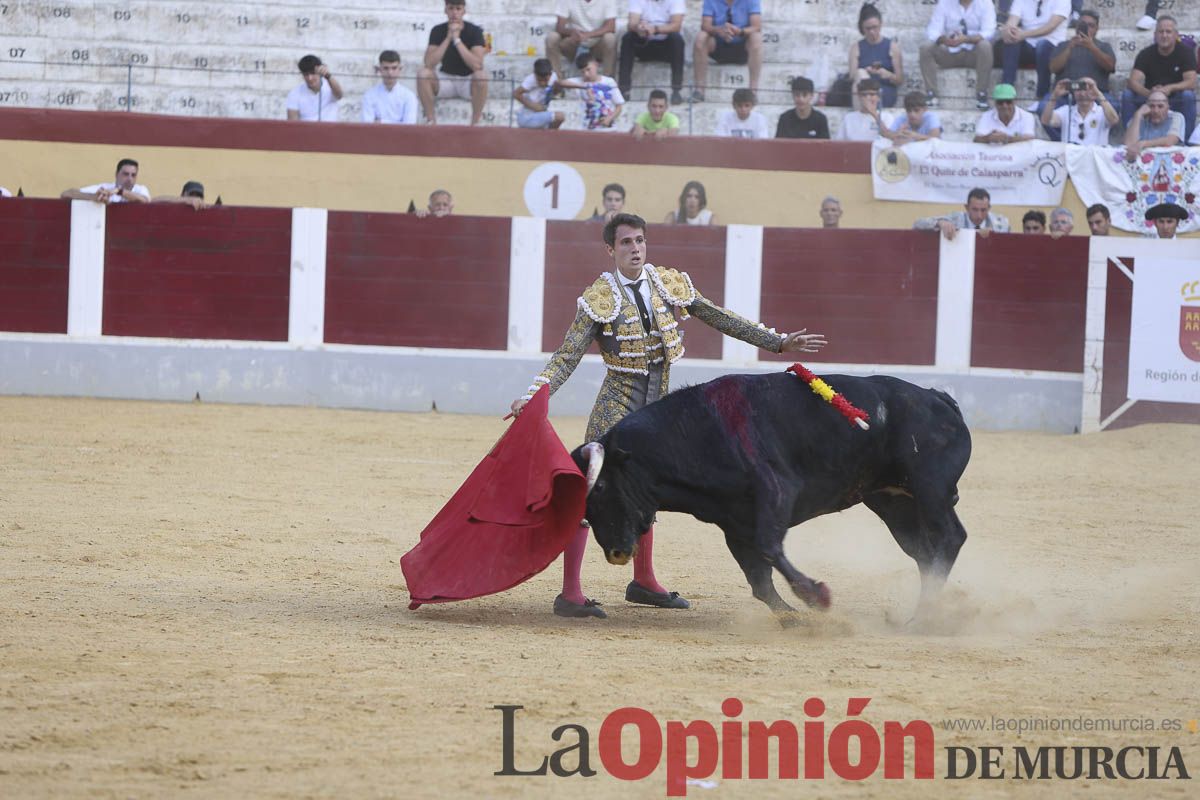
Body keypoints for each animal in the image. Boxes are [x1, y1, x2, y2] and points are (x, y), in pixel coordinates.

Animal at [566, 371, 969, 623]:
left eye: (600, 487)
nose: (616, 553)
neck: (697, 431)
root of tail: (938, 399)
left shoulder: (776, 493)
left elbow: (769, 548)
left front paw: (817, 596)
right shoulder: (733, 522)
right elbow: (759, 580)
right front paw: (795, 619)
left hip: (930, 490)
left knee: (950, 537)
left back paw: (923, 616)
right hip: (894, 503)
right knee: (924, 552)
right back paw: (922, 612)